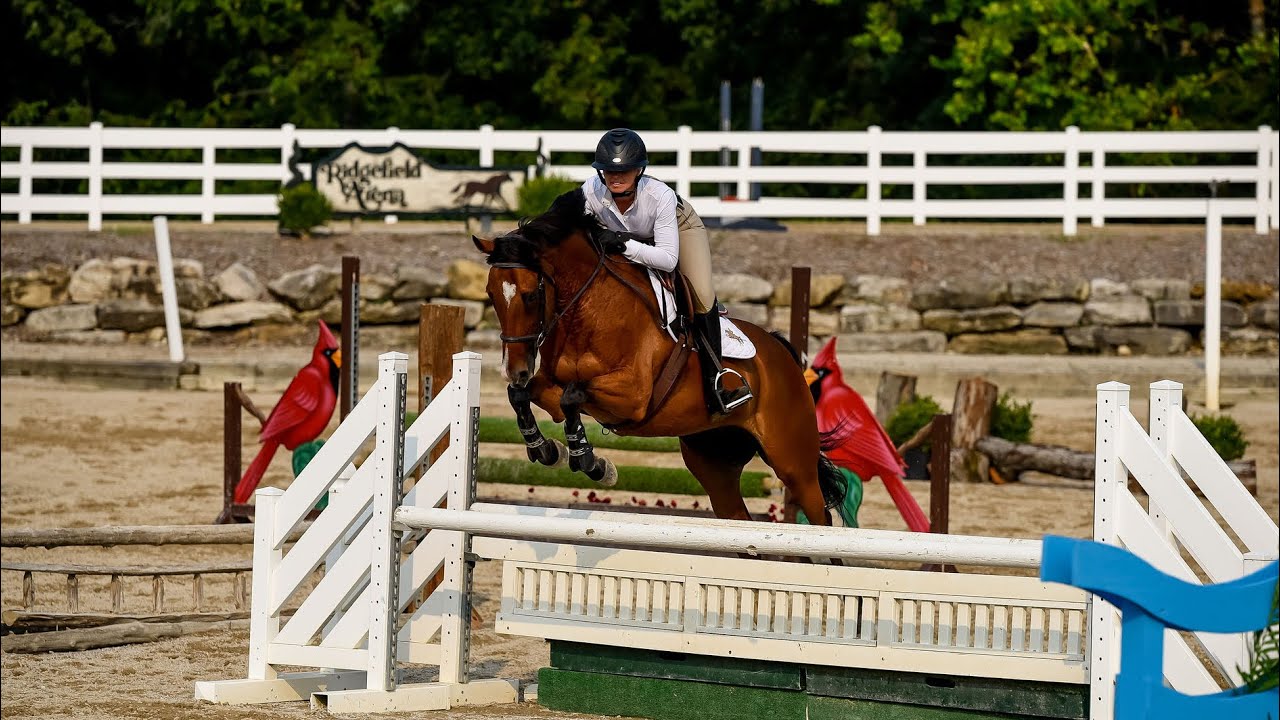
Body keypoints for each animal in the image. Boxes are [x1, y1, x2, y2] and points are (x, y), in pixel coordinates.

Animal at [472, 188, 855, 528]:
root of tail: (782, 355)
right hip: (714, 459)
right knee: (738, 520)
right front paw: (547, 450)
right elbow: (526, 396)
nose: (515, 369)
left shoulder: (632, 397)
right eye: (490, 293)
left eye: (530, 295)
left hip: (793, 462)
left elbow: (572, 396)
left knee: (820, 518)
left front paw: (591, 462)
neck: (588, 311)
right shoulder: (551, 385)